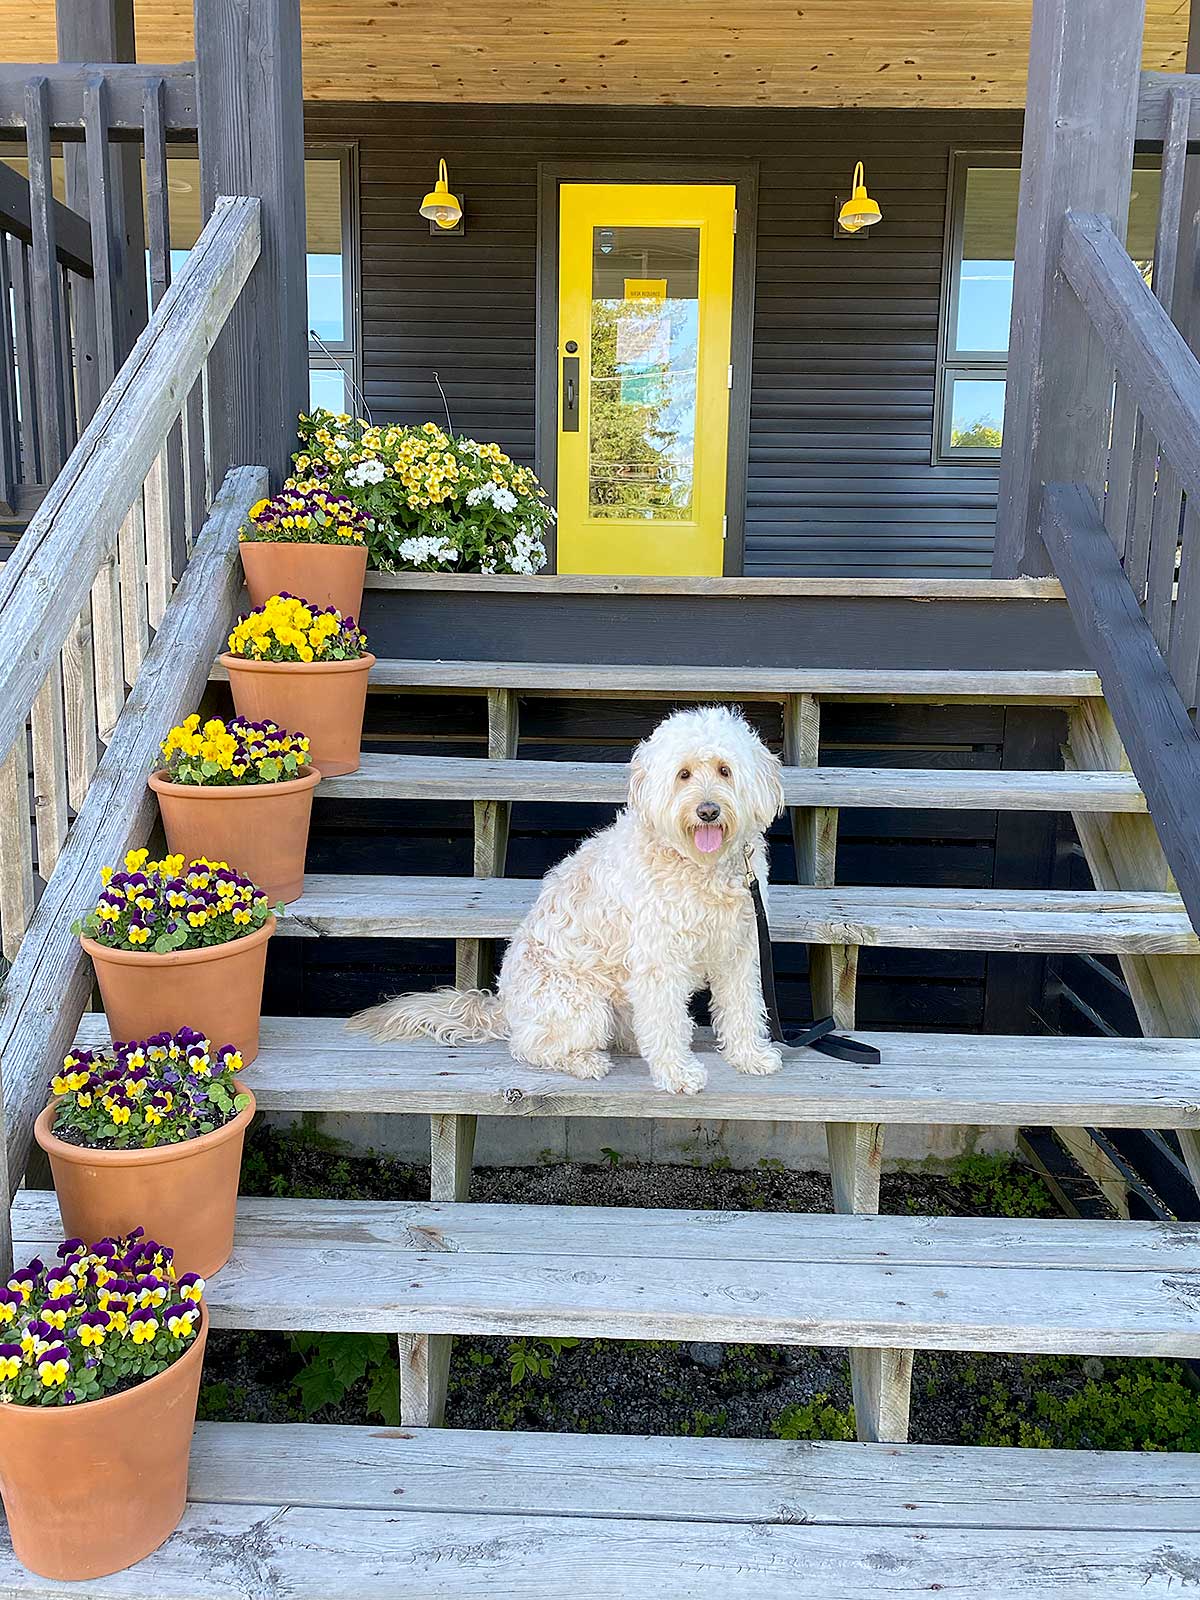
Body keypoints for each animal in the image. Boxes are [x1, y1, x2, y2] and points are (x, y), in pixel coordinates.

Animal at [355, 707, 790, 1094]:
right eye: (683, 774)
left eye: (724, 770)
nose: (707, 811)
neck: (701, 866)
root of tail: (504, 1008)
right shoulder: (658, 961)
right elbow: (667, 1021)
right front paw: (678, 1074)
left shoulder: (739, 950)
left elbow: (744, 1007)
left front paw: (750, 1055)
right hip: (581, 1005)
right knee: (529, 1048)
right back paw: (585, 1061)